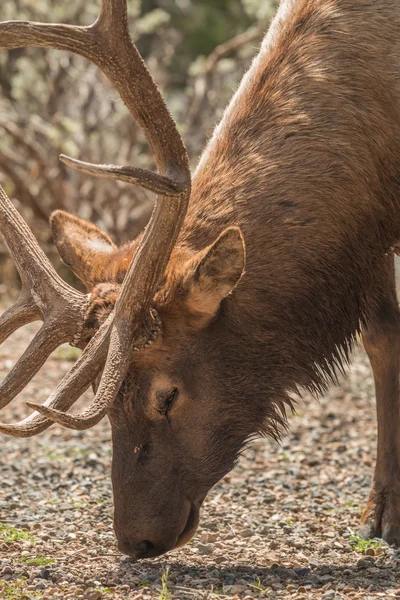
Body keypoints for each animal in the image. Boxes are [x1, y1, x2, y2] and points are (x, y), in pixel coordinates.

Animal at [0, 0, 400, 560]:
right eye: (103, 392)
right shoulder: (369, 241)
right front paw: (380, 512)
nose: (135, 538)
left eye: (167, 395)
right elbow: (383, 338)